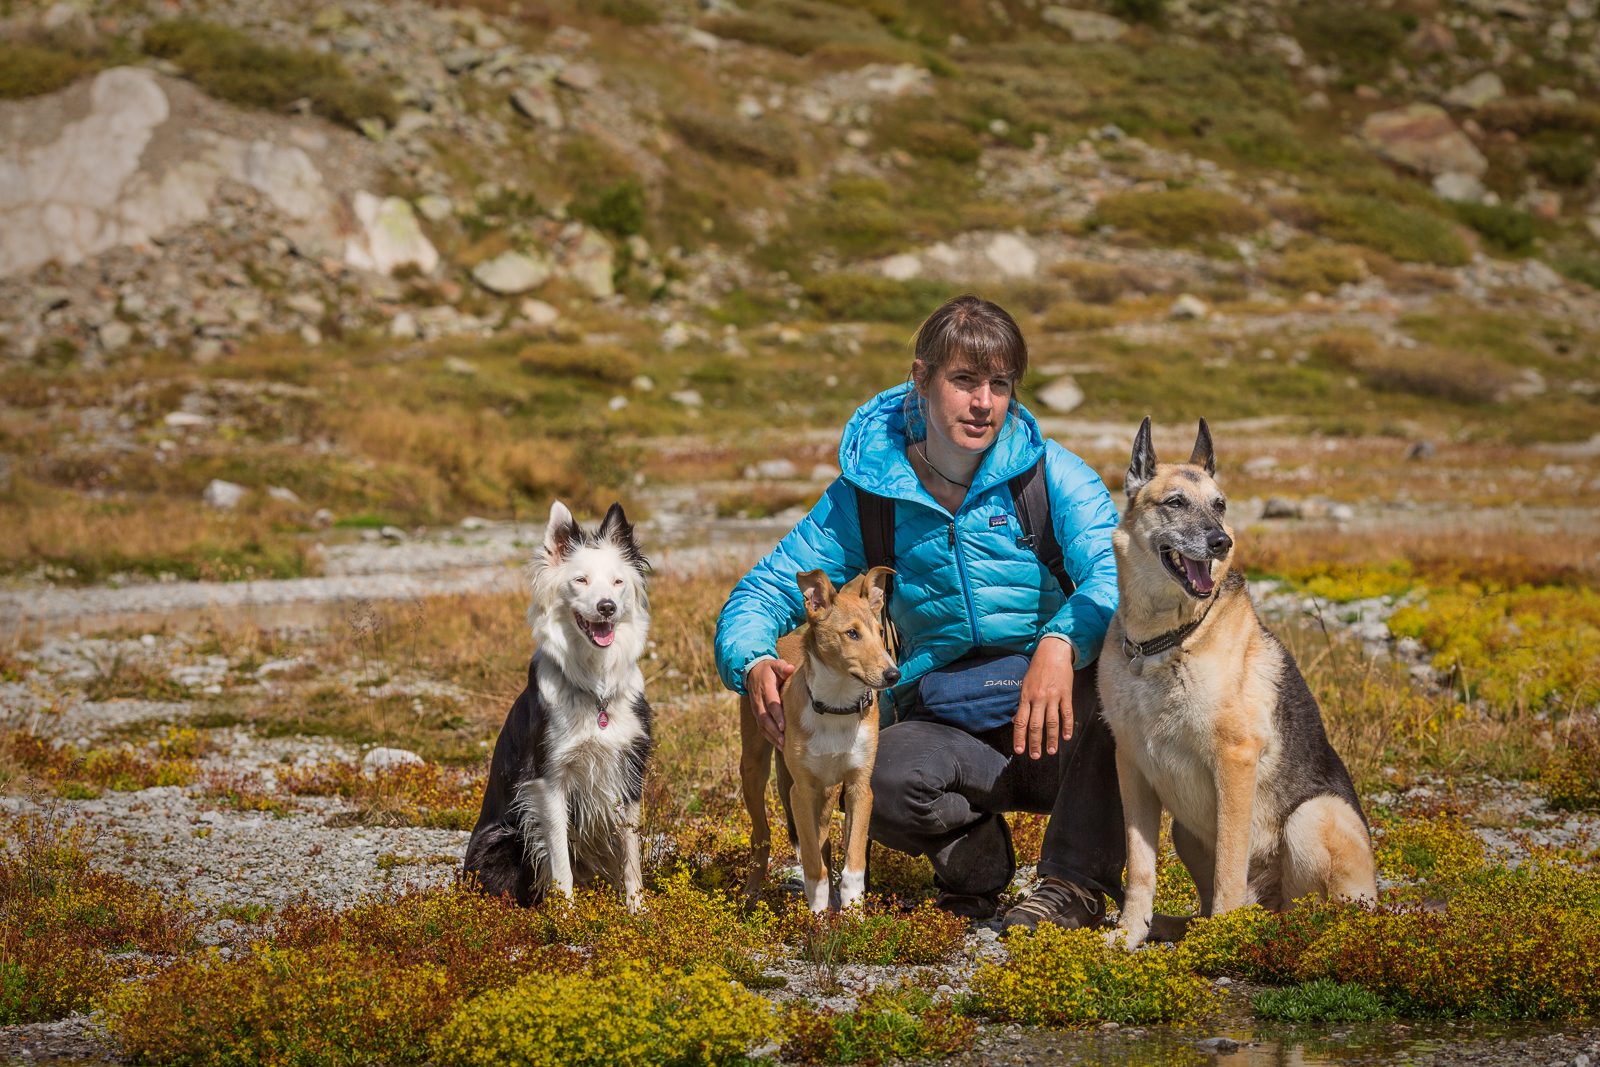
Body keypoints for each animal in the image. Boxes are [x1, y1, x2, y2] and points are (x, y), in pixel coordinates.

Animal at [739, 572, 902, 915]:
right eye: (852, 633)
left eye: (881, 633)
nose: (893, 674)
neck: (837, 707)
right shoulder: (800, 791)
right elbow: (814, 867)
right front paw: (815, 917)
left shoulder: (859, 788)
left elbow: (853, 861)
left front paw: (853, 915)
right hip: (755, 768)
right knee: (762, 835)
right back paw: (751, 896)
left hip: (826, 792)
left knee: (824, 841)